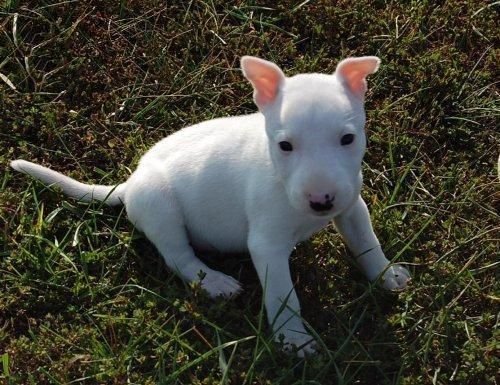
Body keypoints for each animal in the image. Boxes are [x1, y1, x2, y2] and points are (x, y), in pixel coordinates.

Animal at [10, 55, 410, 356]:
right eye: (285, 146)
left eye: (348, 139)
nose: (321, 201)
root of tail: (128, 184)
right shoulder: (266, 245)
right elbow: (283, 296)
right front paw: (294, 341)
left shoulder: (352, 206)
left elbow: (366, 242)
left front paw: (386, 275)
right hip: (161, 208)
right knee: (179, 257)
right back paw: (215, 282)